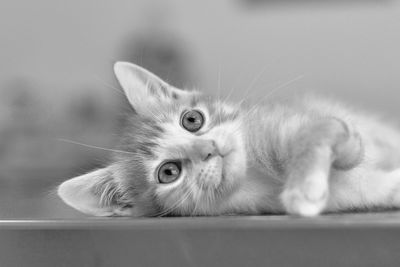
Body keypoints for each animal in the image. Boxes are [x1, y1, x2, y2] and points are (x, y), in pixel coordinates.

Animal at [57, 62, 400, 218]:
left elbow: (327, 129)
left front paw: (311, 179)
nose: (208, 149)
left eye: (191, 120)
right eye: (168, 172)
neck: (260, 178)